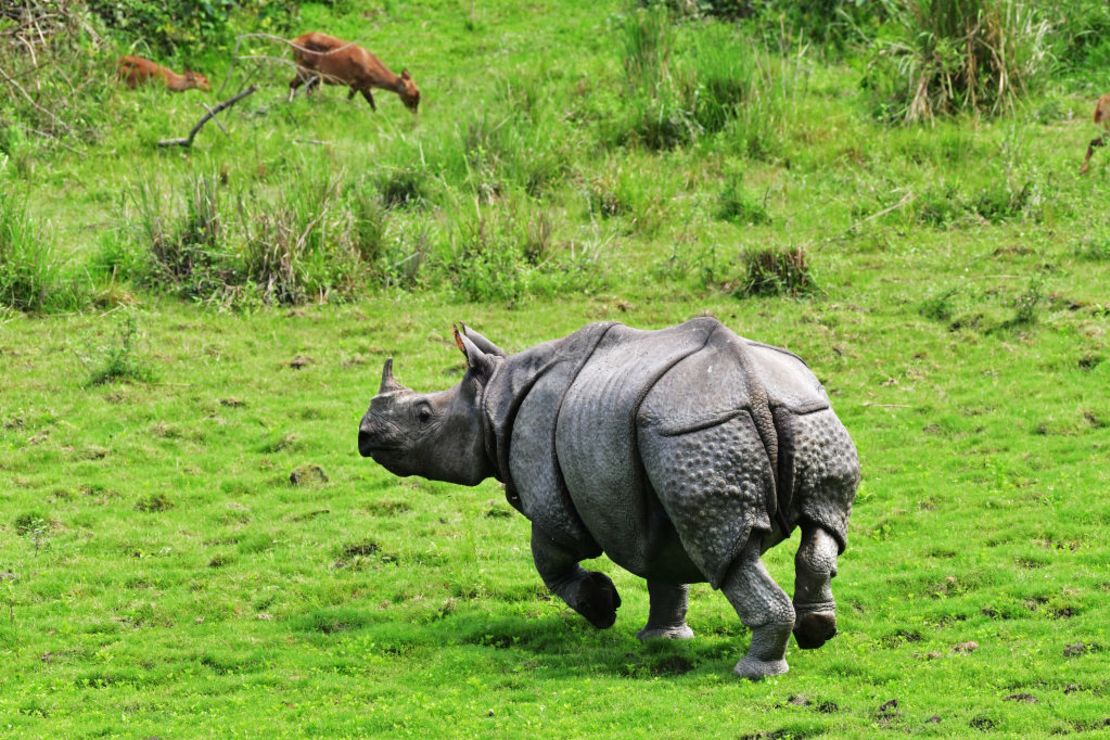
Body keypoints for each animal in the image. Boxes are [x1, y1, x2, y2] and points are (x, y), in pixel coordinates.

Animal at [286, 32, 419, 113]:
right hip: (305, 68)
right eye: (412, 96)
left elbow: (372, 103)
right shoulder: (357, 82)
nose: (415, 112)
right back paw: (291, 103)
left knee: (306, 90)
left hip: (313, 75)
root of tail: (294, 41)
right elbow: (351, 100)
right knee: (293, 84)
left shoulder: (364, 85)